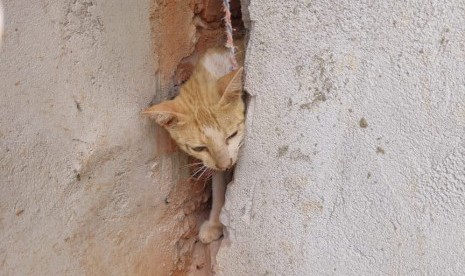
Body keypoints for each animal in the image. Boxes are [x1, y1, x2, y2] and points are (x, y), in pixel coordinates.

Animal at [142, 47, 245, 244]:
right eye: (199, 148)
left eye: (232, 135)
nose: (226, 164)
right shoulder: (213, 163)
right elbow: (217, 185)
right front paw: (215, 223)